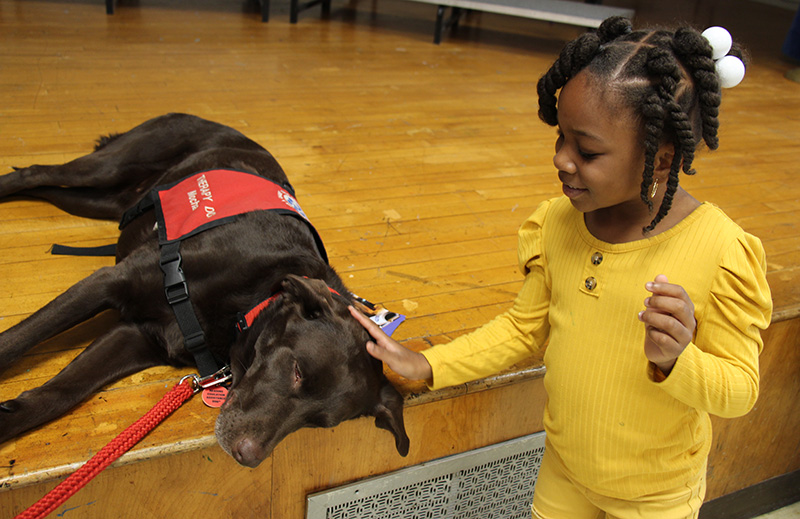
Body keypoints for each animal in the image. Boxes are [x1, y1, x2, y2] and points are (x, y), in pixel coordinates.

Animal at [0, 112, 410, 468]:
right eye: (297, 371)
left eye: (318, 421)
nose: (247, 457)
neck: (249, 304)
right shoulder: (110, 280)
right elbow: (17, 341)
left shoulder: (136, 338)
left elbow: (59, 394)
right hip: (108, 168)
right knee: (37, 172)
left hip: (97, 201)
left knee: (44, 185)